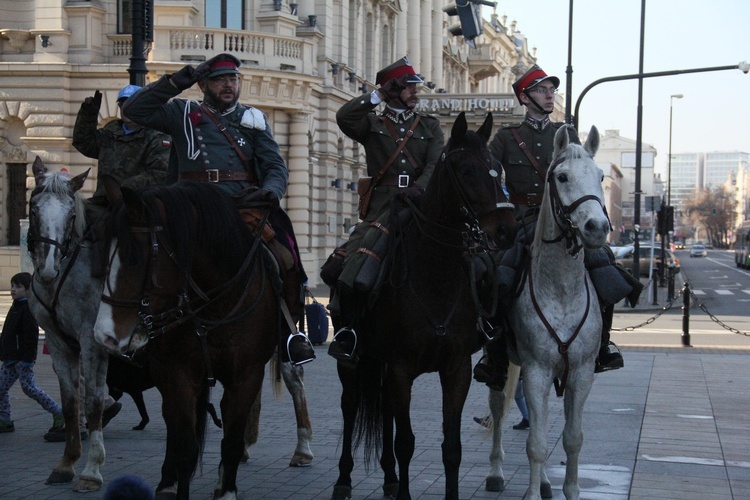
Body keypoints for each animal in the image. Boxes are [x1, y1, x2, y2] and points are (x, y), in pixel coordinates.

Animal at [94, 182, 280, 498]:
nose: (103, 335)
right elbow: (185, 446)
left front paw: (227, 490)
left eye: (133, 257)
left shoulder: (247, 377)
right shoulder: (178, 373)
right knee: (172, 423)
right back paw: (167, 483)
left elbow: (232, 440)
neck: (213, 306)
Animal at [332, 113, 520, 500]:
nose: (507, 230)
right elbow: (406, 441)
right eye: (466, 169)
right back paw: (343, 480)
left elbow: (452, 447)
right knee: (350, 407)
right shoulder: (401, 368)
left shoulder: (456, 370)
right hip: (353, 362)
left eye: (497, 168)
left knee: (385, 410)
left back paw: (389, 477)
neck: (434, 274)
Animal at [488, 123, 612, 498]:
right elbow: (537, 443)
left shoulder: (582, 373)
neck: (561, 288)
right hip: (502, 359)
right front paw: (529, 492)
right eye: (561, 176)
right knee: (498, 407)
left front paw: (569, 489)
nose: (597, 228)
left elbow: (572, 439)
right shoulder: (536, 371)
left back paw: (544, 482)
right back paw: (496, 472)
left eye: (601, 176)